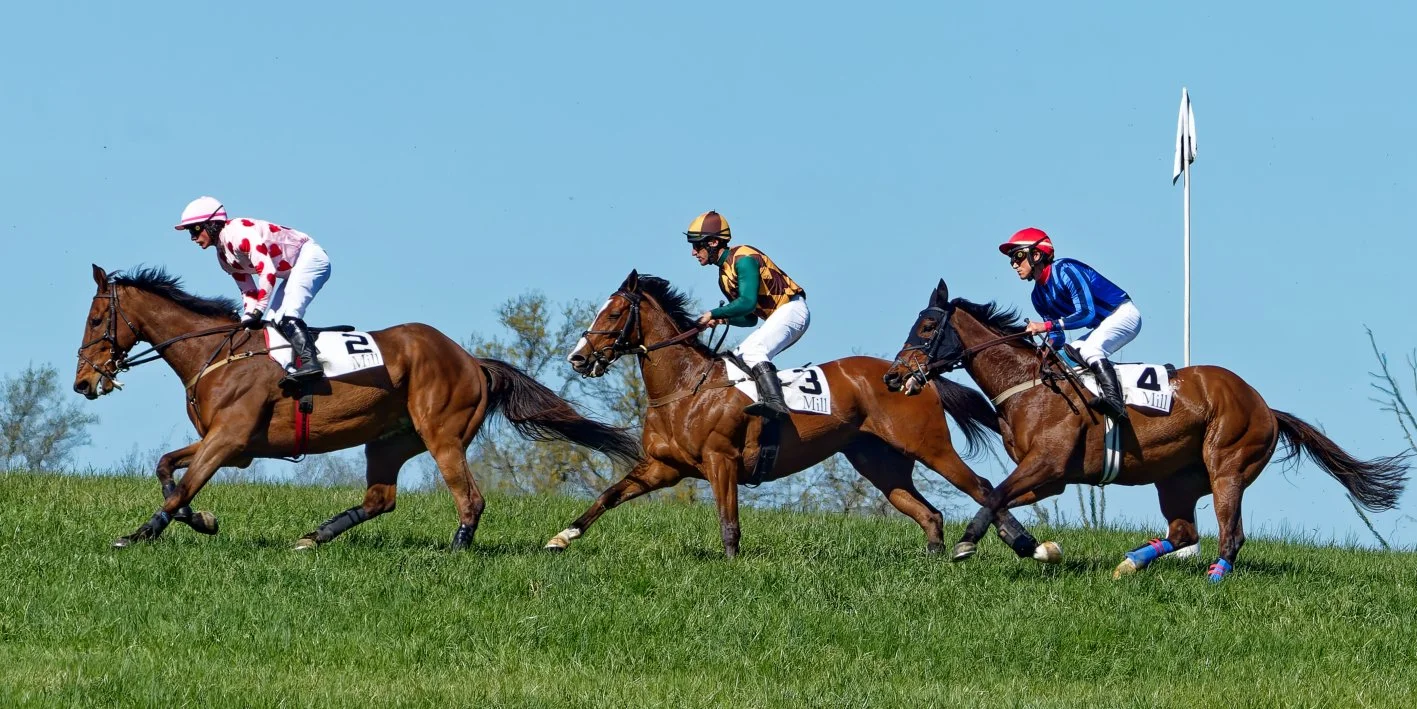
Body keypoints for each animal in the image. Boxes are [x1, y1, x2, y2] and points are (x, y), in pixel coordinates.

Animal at [73, 265, 640, 550]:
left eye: (97, 319)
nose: (82, 382)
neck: (218, 353)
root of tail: (472, 360)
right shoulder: (232, 446)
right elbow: (167, 470)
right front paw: (202, 521)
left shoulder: (229, 439)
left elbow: (183, 484)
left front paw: (138, 535)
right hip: (387, 441)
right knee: (380, 499)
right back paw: (313, 537)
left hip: (441, 434)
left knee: (469, 498)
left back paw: (456, 550)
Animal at [546, 270, 1061, 561]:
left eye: (614, 315)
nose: (578, 357)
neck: (684, 388)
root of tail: (914, 376)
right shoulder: (662, 467)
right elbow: (608, 495)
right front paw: (561, 537)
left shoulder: (720, 461)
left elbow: (728, 522)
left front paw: (732, 567)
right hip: (877, 460)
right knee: (928, 512)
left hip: (929, 446)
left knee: (983, 487)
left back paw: (1029, 546)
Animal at [883, 279, 1409, 581]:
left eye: (927, 328)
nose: (893, 377)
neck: (1028, 384)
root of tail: (1264, 405)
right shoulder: (1050, 476)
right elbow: (994, 494)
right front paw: (1032, 546)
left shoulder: (1047, 465)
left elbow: (992, 494)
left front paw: (969, 543)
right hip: (1176, 478)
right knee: (1182, 532)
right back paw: (1129, 564)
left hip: (1227, 465)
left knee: (1231, 534)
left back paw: (1214, 578)